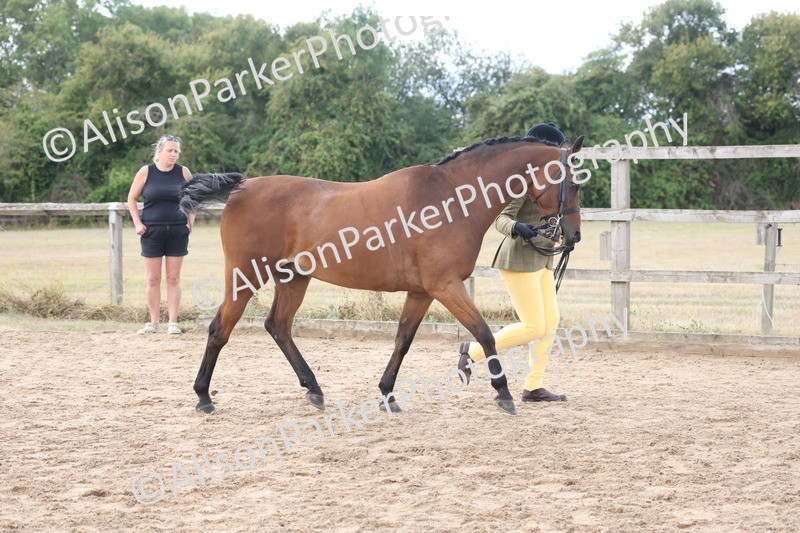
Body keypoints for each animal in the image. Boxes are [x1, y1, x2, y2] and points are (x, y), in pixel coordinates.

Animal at [179, 133, 584, 416]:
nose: (574, 236)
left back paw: (314, 390)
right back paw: (203, 397)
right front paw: (503, 393)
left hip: (294, 278)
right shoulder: (446, 286)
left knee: (278, 326)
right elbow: (484, 333)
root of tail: (242, 187)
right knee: (220, 329)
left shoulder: (422, 292)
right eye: (575, 182)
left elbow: (403, 339)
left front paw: (387, 394)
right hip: (245, 275)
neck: (449, 200)